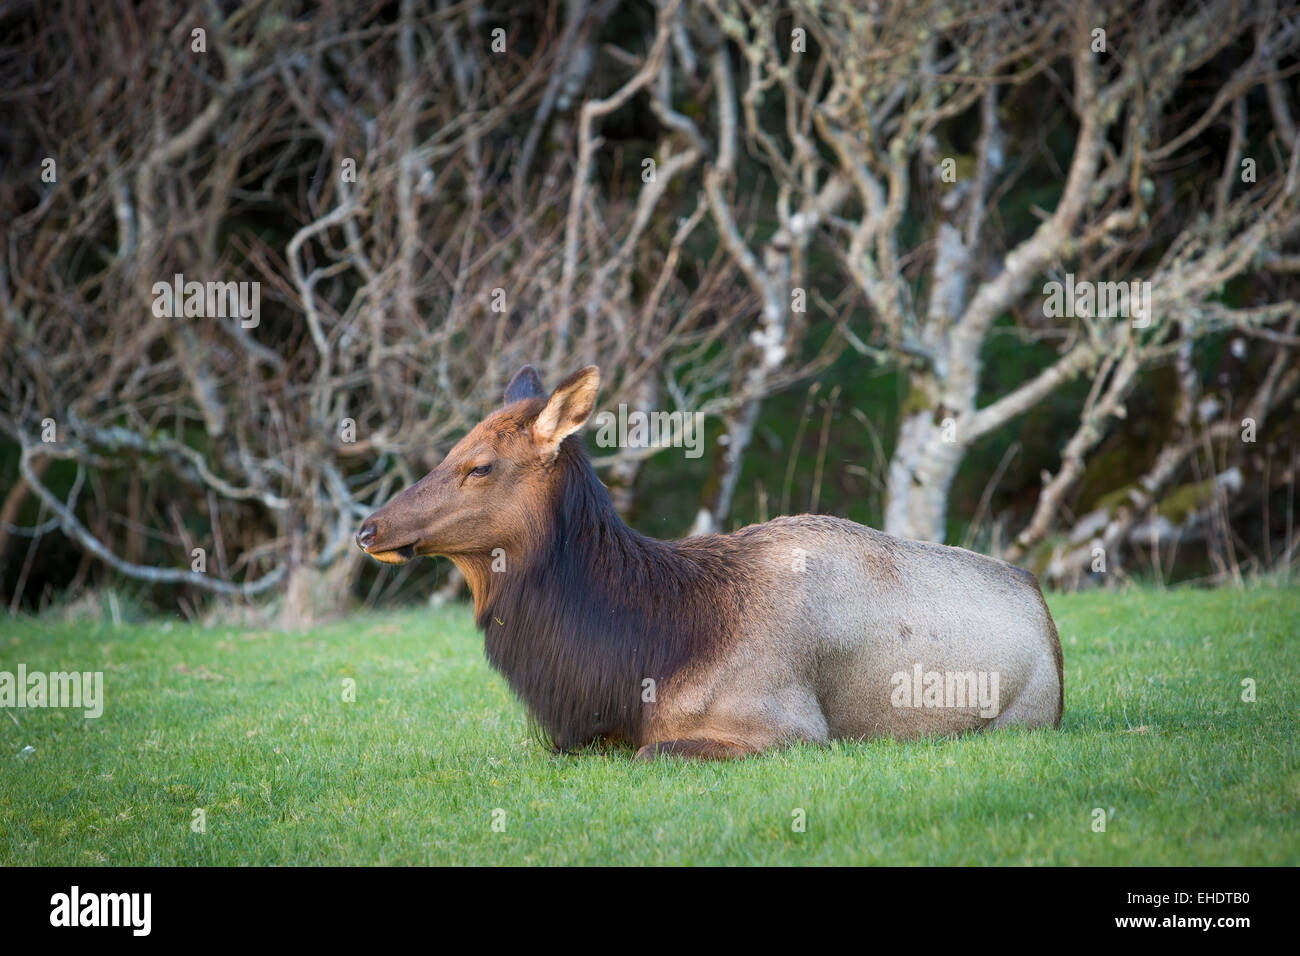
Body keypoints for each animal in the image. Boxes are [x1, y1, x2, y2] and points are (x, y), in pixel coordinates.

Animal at [353, 369, 1055, 764]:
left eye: (479, 465)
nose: (369, 527)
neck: (641, 659)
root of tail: (1043, 607)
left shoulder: (789, 727)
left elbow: (652, 755)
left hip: (1021, 717)